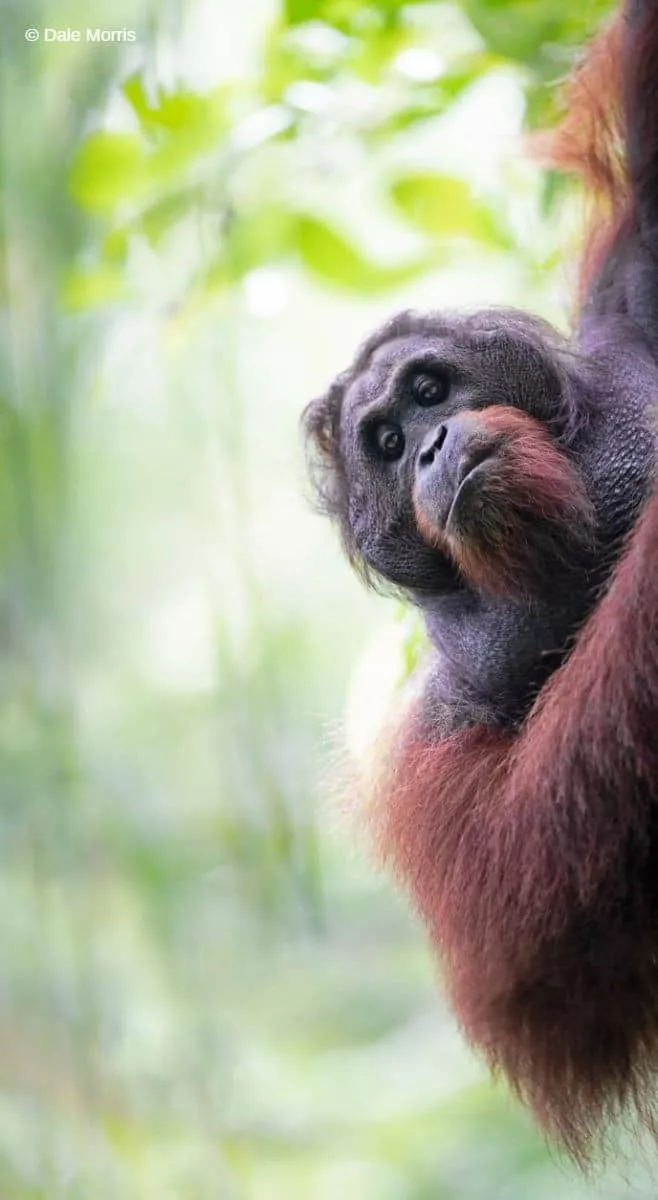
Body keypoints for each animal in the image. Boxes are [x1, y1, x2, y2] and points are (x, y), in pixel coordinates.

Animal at [303, 0, 658, 1165]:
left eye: (427, 387)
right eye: (379, 440)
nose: (427, 446)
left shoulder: (632, 311)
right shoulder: (439, 728)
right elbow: (527, 927)